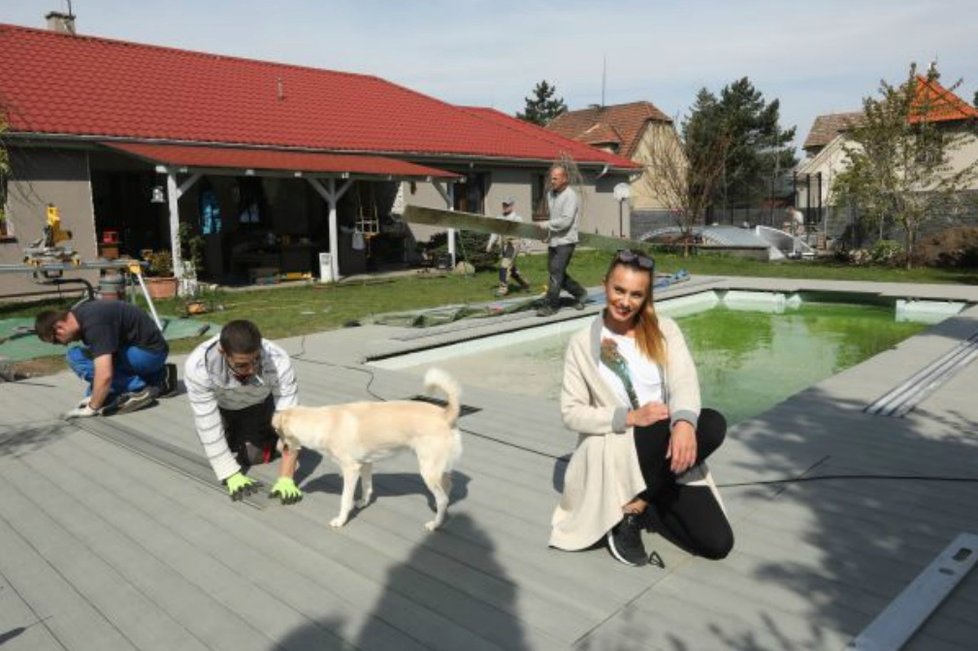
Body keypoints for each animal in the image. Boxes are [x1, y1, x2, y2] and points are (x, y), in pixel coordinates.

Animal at [270, 370, 462, 532]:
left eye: (277, 432)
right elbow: (367, 487)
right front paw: (363, 502)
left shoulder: (351, 469)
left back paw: (435, 524)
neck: (323, 423)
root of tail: (446, 414)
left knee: (443, 498)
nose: (278, 449)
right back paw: (438, 509)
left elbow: (345, 499)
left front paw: (341, 520)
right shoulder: (366, 464)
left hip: (428, 470)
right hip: (438, 468)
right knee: (448, 487)